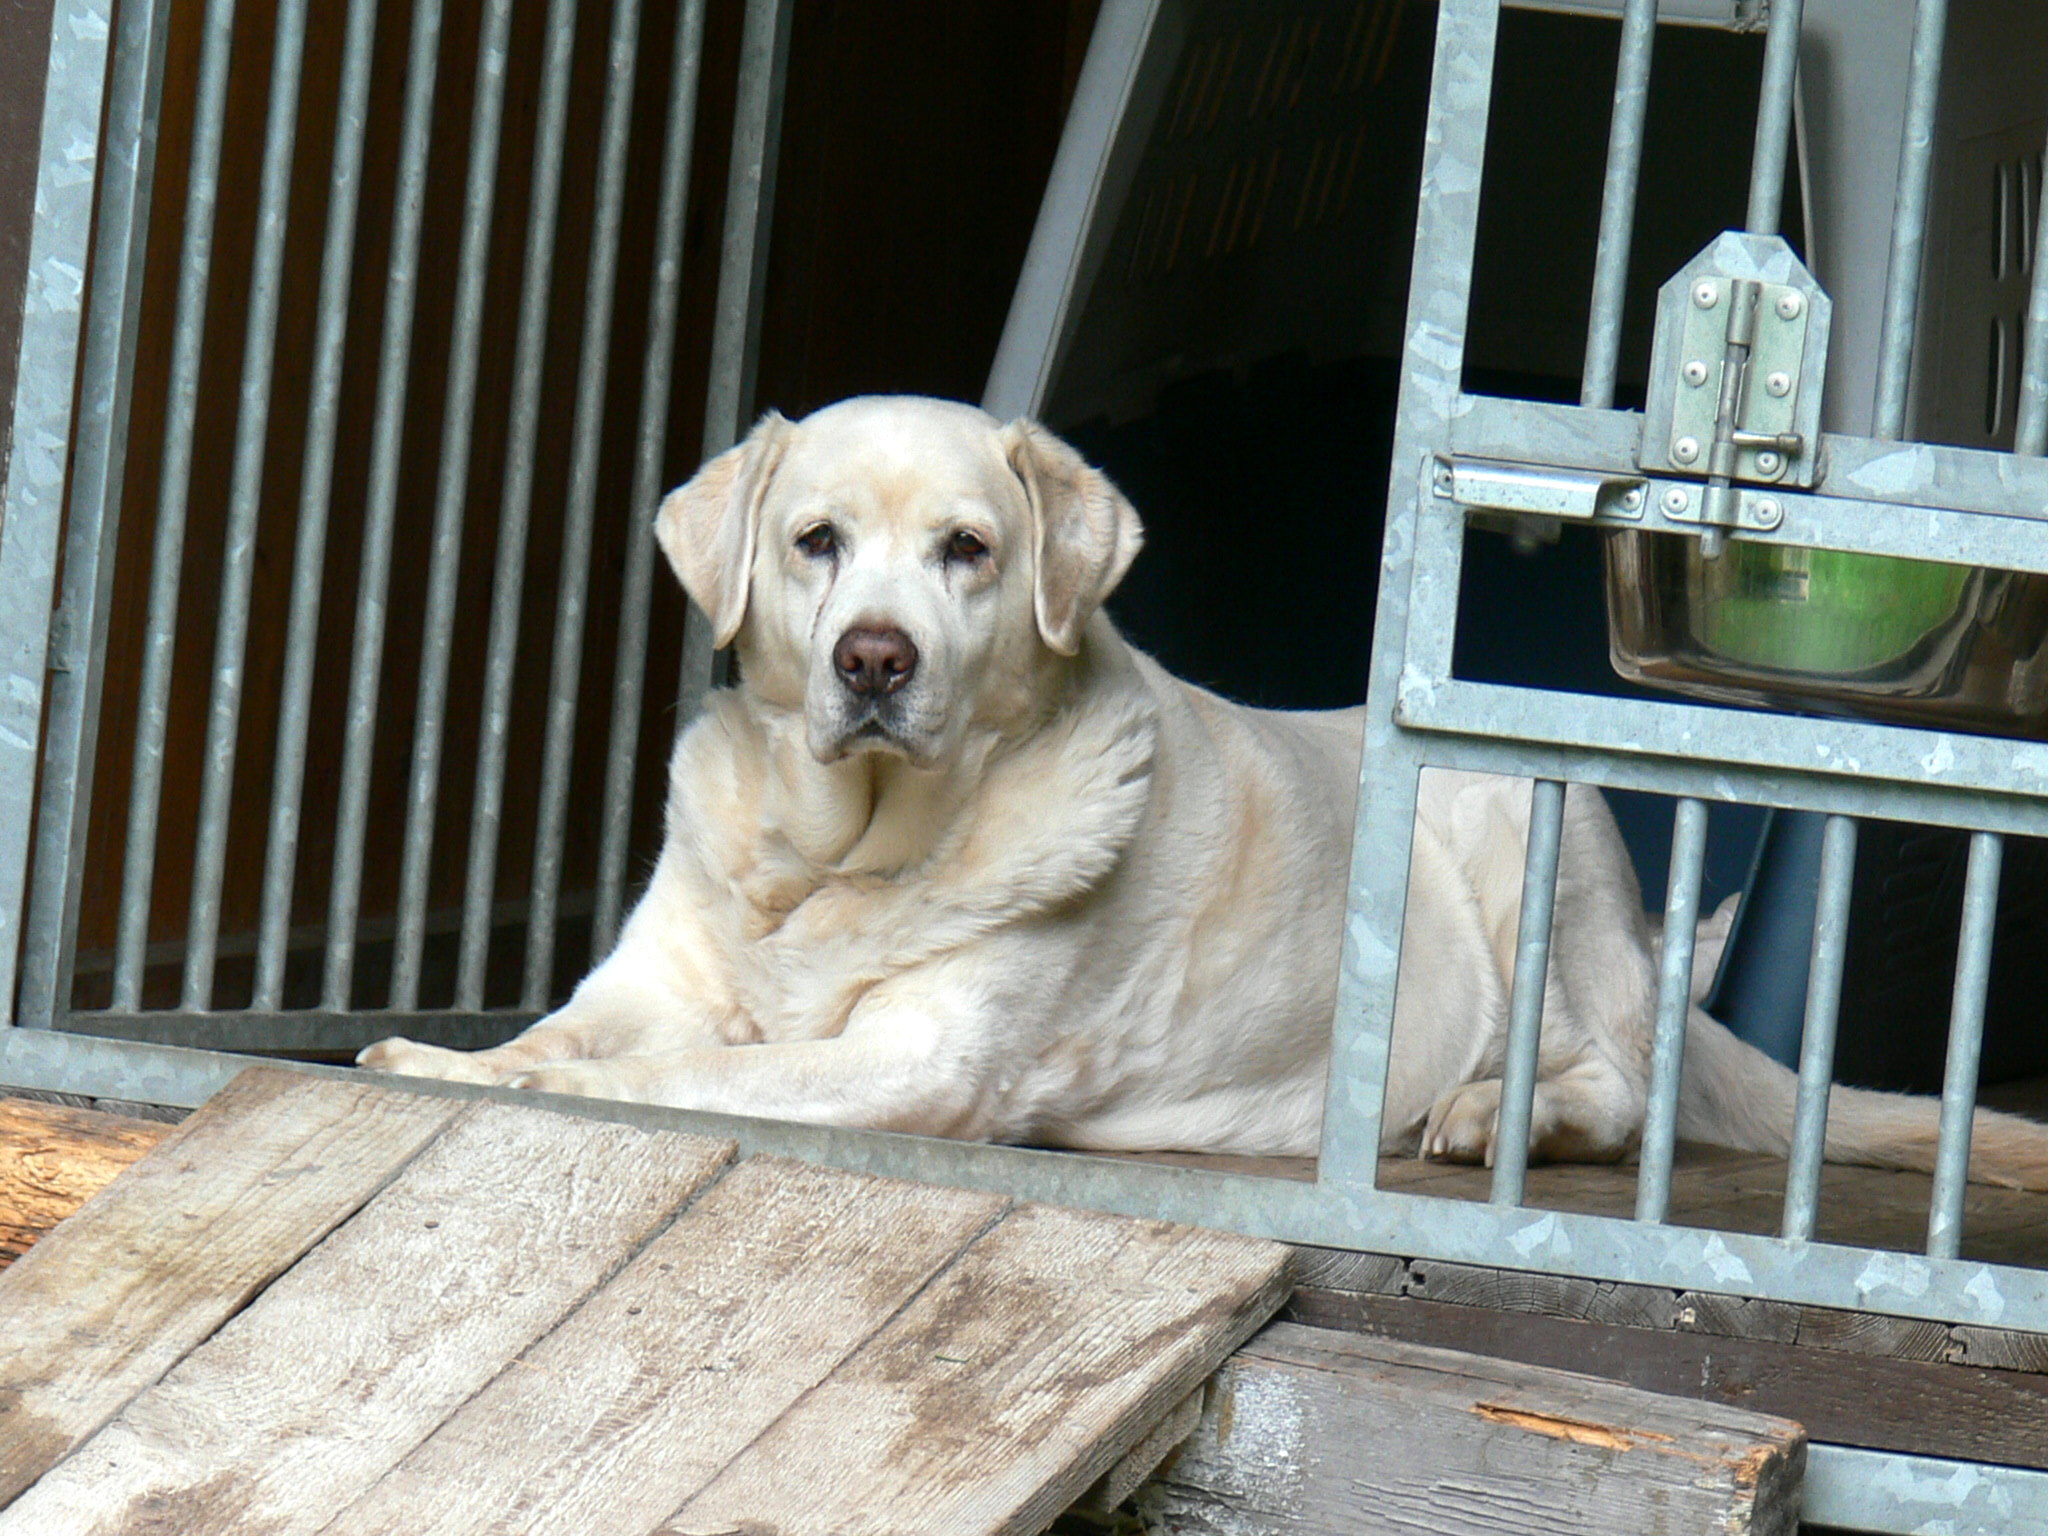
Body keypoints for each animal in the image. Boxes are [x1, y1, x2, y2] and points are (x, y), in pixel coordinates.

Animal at [360, 397, 2048, 1187]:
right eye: (815, 543)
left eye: (969, 551)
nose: (875, 660)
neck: (834, 864)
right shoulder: (648, 981)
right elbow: (568, 1038)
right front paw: (443, 1057)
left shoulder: (915, 1063)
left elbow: (673, 1080)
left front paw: (523, 1089)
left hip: (1520, 824)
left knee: (1619, 1091)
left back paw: (1488, 1113)